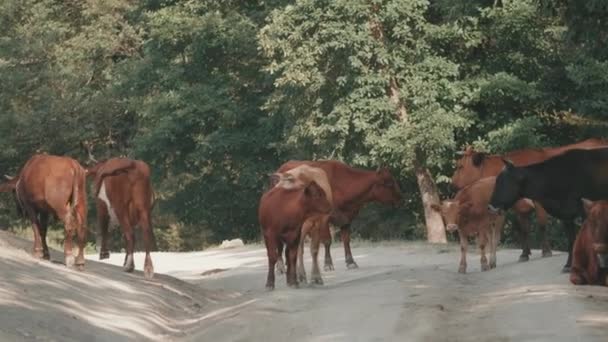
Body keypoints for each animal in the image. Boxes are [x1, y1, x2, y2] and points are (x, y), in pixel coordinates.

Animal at [274, 162, 402, 272]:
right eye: (389, 183)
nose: (400, 197)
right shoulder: (326, 217)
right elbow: (327, 241)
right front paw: (328, 264)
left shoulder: (347, 218)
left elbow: (346, 239)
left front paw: (351, 262)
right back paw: (280, 266)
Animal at [452, 139, 608, 262]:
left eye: (460, 166)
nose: (452, 183)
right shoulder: (520, 208)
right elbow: (524, 229)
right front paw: (524, 253)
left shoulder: (539, 202)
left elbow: (542, 225)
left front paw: (546, 251)